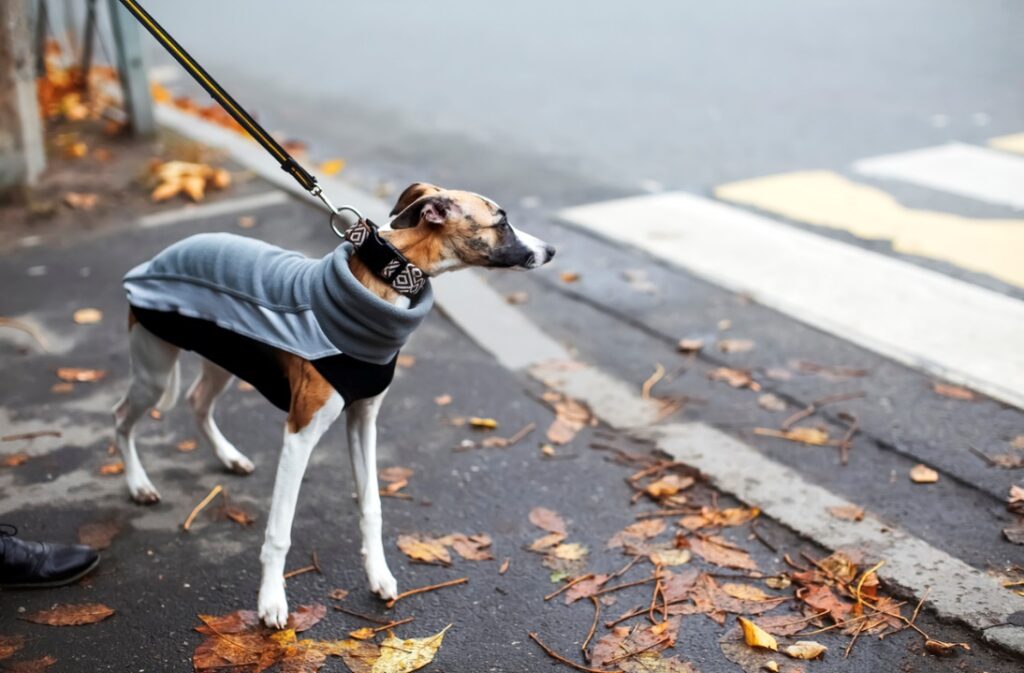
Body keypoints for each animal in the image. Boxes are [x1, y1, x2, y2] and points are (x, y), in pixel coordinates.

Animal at [113, 182, 557, 622]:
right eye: (501, 222)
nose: (552, 250)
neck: (385, 281)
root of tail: (161, 257)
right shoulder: (299, 434)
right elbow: (280, 529)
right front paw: (271, 600)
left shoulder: (363, 419)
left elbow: (372, 505)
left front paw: (378, 575)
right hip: (153, 371)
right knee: (121, 418)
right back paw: (139, 484)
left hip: (223, 359)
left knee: (198, 402)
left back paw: (228, 457)